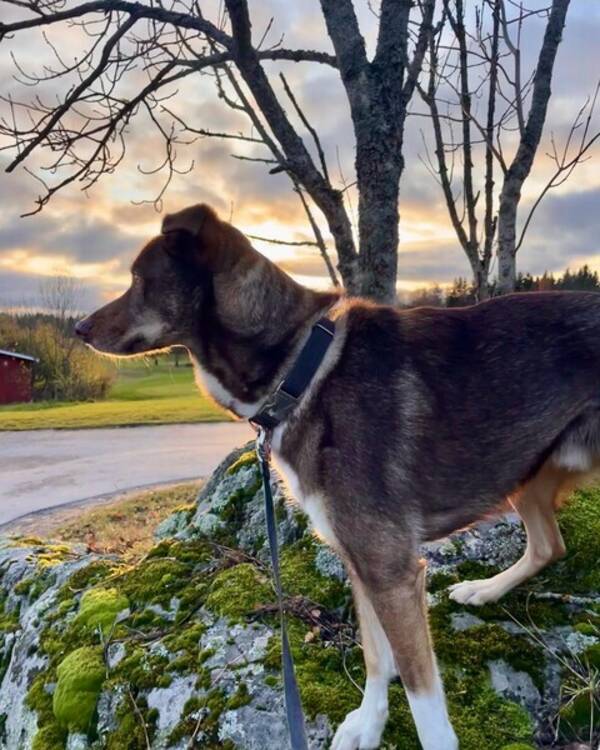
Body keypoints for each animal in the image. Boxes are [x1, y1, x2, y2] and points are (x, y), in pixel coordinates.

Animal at [77, 201, 600, 750]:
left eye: (138, 280)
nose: (79, 329)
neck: (300, 370)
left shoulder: (390, 571)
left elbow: (423, 703)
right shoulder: (360, 559)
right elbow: (376, 657)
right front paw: (368, 724)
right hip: (529, 472)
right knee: (549, 545)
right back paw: (485, 590)